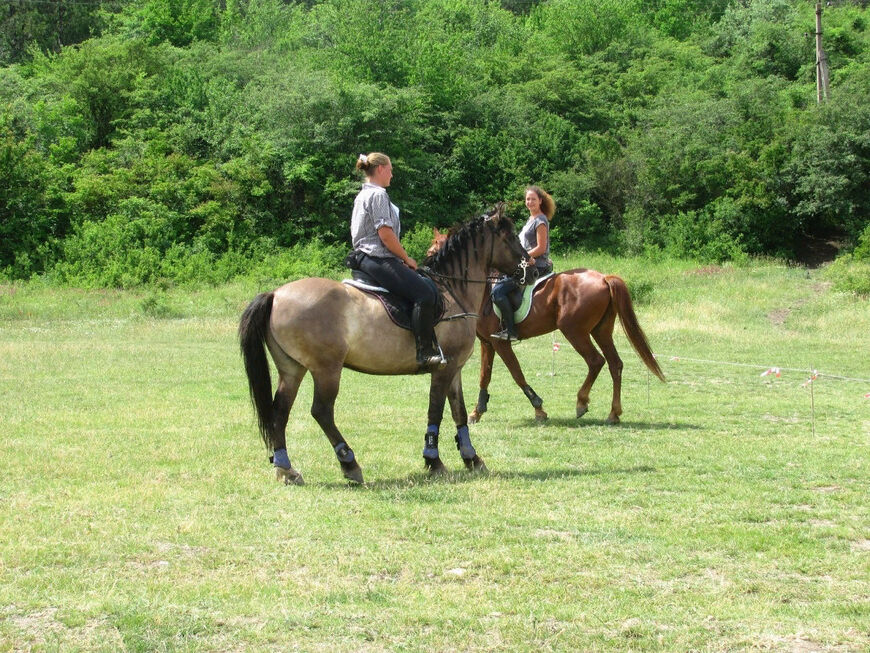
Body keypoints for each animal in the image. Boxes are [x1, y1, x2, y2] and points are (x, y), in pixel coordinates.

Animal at [235, 205, 532, 484]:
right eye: (509, 237)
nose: (533, 269)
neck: (453, 292)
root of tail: (275, 294)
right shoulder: (442, 369)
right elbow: (435, 410)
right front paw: (433, 460)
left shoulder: (454, 368)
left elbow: (458, 412)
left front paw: (472, 458)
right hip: (326, 369)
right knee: (321, 411)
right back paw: (349, 464)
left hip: (292, 368)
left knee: (279, 412)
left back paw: (286, 468)